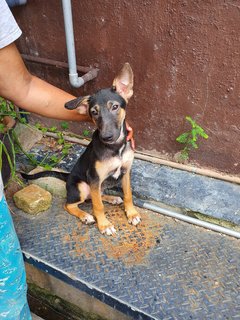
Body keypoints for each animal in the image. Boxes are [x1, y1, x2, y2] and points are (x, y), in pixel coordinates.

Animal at [22, 63, 140, 235]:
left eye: (115, 107)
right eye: (94, 112)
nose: (107, 137)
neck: (116, 148)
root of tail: (68, 176)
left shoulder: (125, 171)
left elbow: (128, 194)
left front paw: (131, 214)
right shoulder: (94, 177)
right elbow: (98, 206)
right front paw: (104, 225)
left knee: (96, 195)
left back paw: (112, 198)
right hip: (81, 187)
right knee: (71, 204)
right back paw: (85, 216)